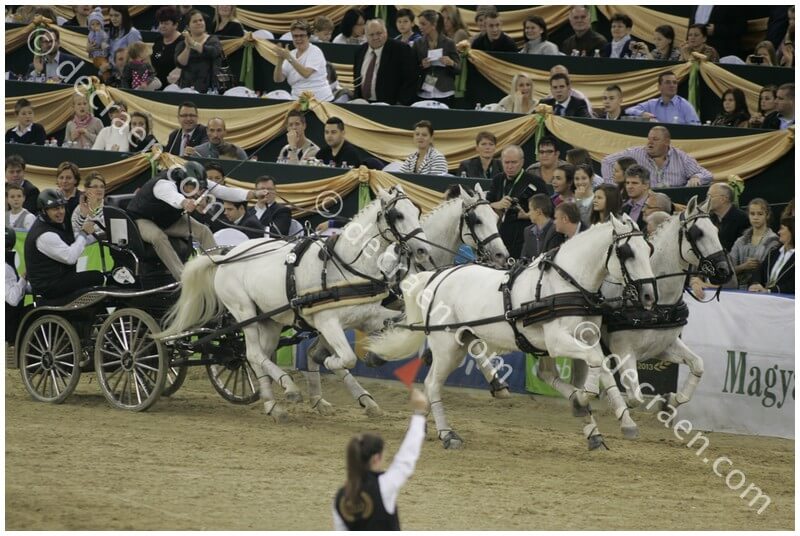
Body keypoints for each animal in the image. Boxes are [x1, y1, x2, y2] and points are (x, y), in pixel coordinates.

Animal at [156, 185, 432, 422]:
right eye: (397, 214)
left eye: (417, 211)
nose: (422, 251)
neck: (344, 267)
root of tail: (224, 255)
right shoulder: (326, 321)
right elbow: (347, 358)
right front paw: (328, 363)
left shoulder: (370, 315)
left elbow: (396, 327)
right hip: (243, 311)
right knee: (253, 353)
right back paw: (288, 387)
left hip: (269, 319)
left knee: (257, 356)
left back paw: (273, 405)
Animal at [365, 214, 657, 449]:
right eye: (627, 252)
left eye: (649, 249)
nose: (649, 295)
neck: (566, 284)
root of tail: (438, 277)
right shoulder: (557, 341)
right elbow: (594, 367)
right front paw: (584, 399)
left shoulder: (586, 338)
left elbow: (603, 370)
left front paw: (620, 423)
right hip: (447, 346)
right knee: (431, 384)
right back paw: (448, 434)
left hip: (468, 337)